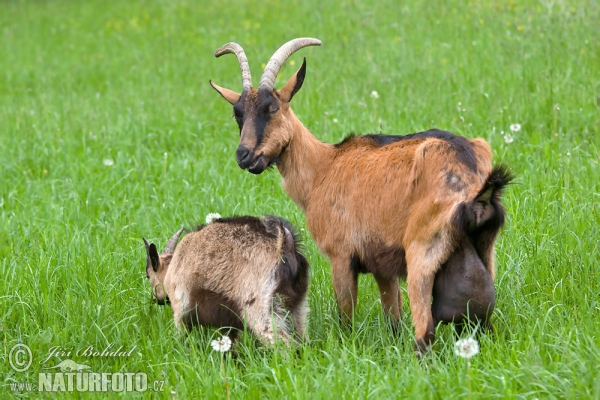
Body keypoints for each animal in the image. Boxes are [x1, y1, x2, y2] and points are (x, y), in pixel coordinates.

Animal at [142, 214, 308, 346]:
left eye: (148, 275)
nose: (155, 299)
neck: (173, 264)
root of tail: (283, 247)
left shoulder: (180, 307)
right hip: (297, 308)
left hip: (262, 309)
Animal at [210, 36, 510, 350]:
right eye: (237, 113)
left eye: (272, 108)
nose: (244, 156)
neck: (323, 168)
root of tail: (473, 177)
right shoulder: (382, 264)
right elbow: (393, 318)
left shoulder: (341, 254)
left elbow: (346, 316)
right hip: (484, 250)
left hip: (422, 250)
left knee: (424, 333)